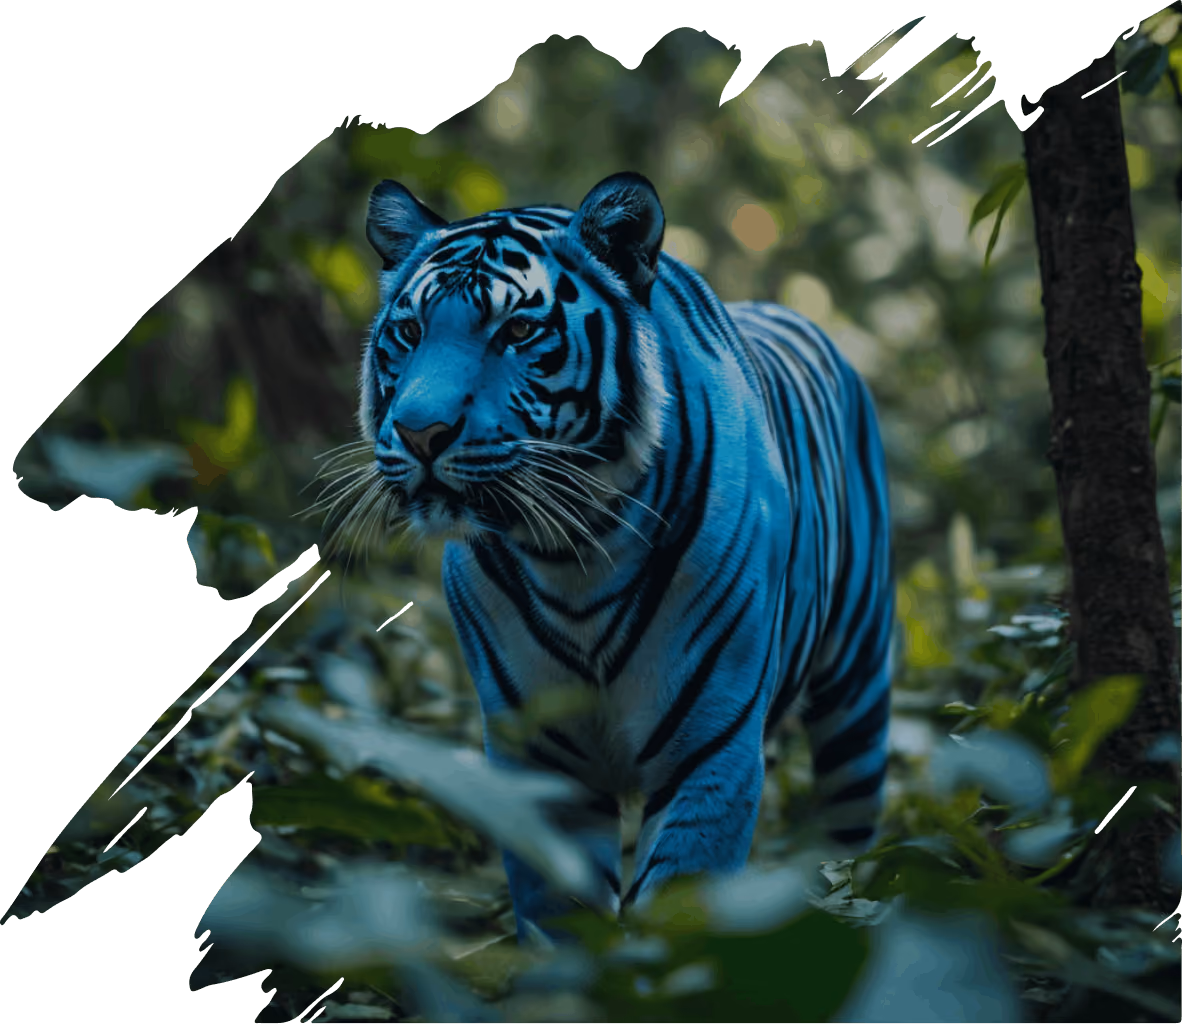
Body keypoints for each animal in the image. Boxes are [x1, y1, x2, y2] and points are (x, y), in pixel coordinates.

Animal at [346, 171, 894, 944]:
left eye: (518, 330)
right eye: (410, 331)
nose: (421, 433)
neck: (571, 550)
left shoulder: (710, 750)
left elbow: (680, 912)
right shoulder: (539, 761)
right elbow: (561, 921)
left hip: (857, 695)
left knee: (848, 834)